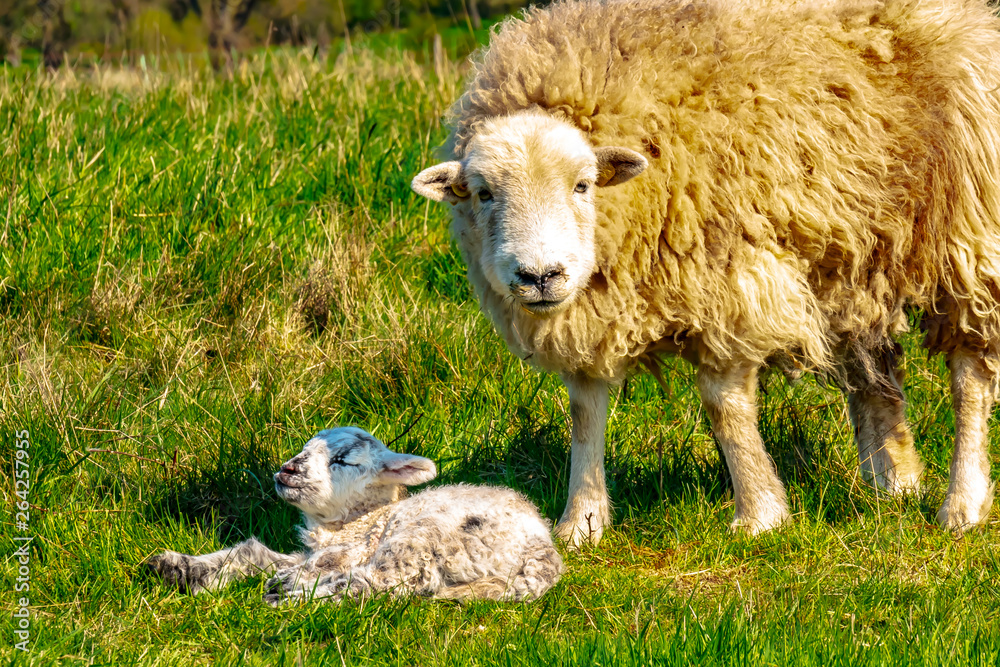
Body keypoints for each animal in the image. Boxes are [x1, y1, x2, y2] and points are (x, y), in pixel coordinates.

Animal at [146, 427, 563, 602]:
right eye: (305, 447)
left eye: (342, 461)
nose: (287, 470)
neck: (358, 520)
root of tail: (544, 553)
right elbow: (253, 553)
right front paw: (180, 568)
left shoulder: (357, 546)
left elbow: (325, 563)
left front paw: (291, 581)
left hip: (430, 535)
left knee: (385, 583)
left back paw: (290, 596)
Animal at [411, 0, 1000, 545]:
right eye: (483, 193)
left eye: (583, 184)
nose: (540, 276)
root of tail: (967, 17)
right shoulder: (593, 309)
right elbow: (584, 413)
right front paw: (581, 523)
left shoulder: (730, 280)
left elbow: (724, 407)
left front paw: (760, 514)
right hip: (856, 251)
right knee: (872, 370)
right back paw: (892, 481)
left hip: (968, 231)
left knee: (969, 377)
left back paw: (962, 505)